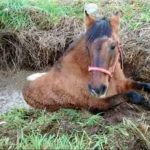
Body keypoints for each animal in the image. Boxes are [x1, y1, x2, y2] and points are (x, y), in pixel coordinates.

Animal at [22, 11, 150, 113]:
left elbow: (143, 85)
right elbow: (133, 95)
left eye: (113, 46)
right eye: (87, 47)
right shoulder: (97, 103)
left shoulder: (123, 83)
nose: (96, 89)